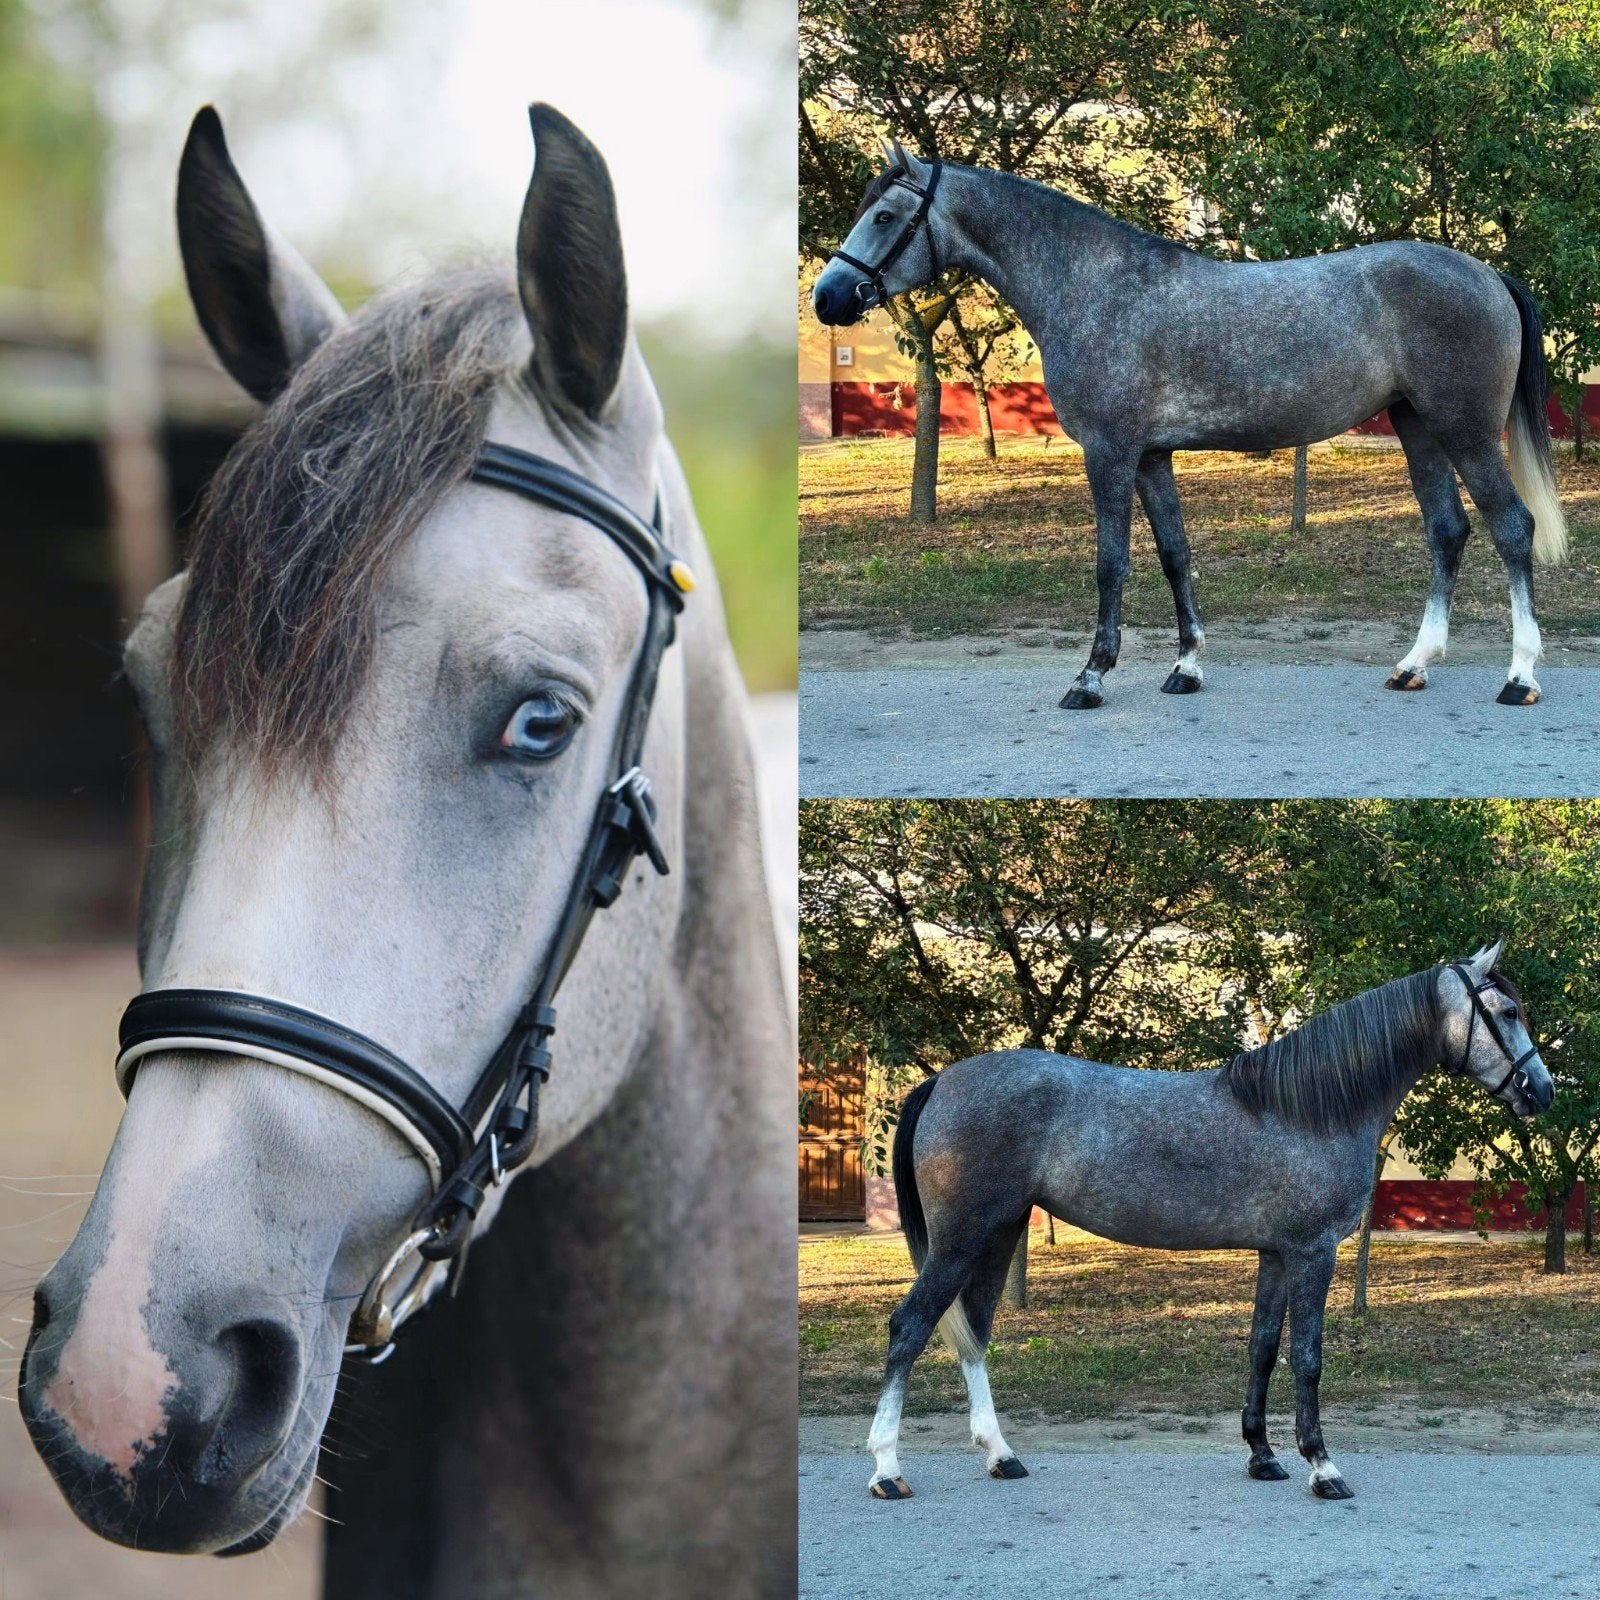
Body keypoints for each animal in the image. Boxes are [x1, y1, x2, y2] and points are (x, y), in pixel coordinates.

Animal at [814, 147, 1570, 711]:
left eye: (885, 215)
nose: (827, 298)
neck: (1096, 286)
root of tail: (1488, 273)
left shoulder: (1110, 452)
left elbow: (1111, 562)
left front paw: (1091, 677)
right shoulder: (1152, 456)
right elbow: (1175, 554)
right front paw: (1186, 667)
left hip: (1466, 431)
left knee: (1512, 527)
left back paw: (1520, 676)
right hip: (1419, 429)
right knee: (1448, 531)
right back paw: (1413, 665)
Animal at [862, 944, 1551, 1504]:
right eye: (1507, 1012)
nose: (1541, 1091)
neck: (1310, 1108)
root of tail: (942, 1080)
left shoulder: (1276, 1254)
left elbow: (1263, 1348)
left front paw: (1264, 1456)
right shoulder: (1314, 1251)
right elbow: (1307, 1356)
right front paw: (1322, 1468)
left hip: (997, 1234)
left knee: (974, 1330)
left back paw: (1001, 1455)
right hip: (961, 1238)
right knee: (911, 1326)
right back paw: (887, 1469)